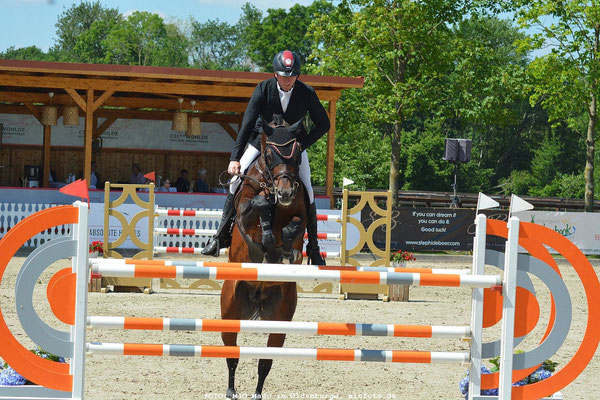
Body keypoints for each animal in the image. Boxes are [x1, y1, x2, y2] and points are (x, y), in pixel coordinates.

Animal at [220, 119, 308, 400]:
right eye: (269, 154)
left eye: (297, 152)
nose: (285, 192)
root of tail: (258, 296)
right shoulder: (245, 215)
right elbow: (256, 206)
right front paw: (268, 233)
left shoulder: (300, 215)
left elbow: (295, 225)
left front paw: (285, 249)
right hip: (230, 311)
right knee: (232, 356)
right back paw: (231, 390)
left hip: (280, 320)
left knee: (265, 361)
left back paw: (257, 393)